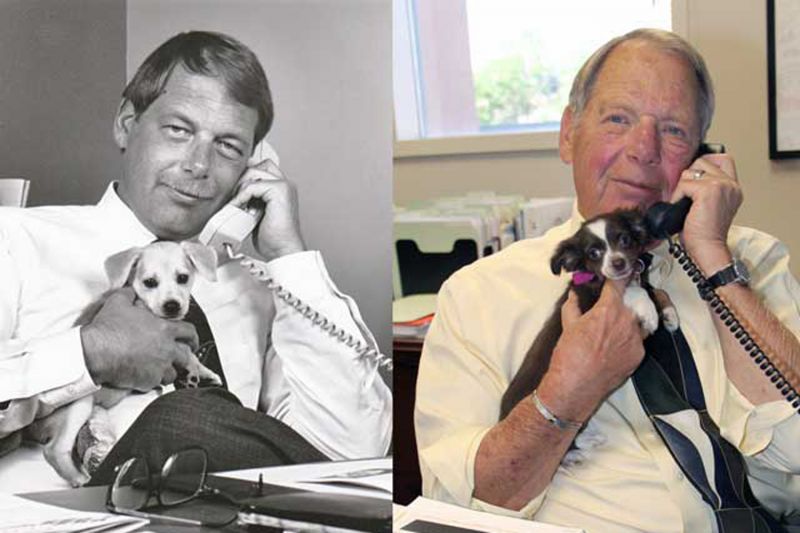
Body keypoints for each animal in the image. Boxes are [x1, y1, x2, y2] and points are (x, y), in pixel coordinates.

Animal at [25, 241, 222, 486]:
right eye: (150, 282)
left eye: (183, 278)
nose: (172, 306)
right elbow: (187, 354)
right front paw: (198, 371)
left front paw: (203, 372)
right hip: (78, 403)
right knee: (55, 450)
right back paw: (80, 478)